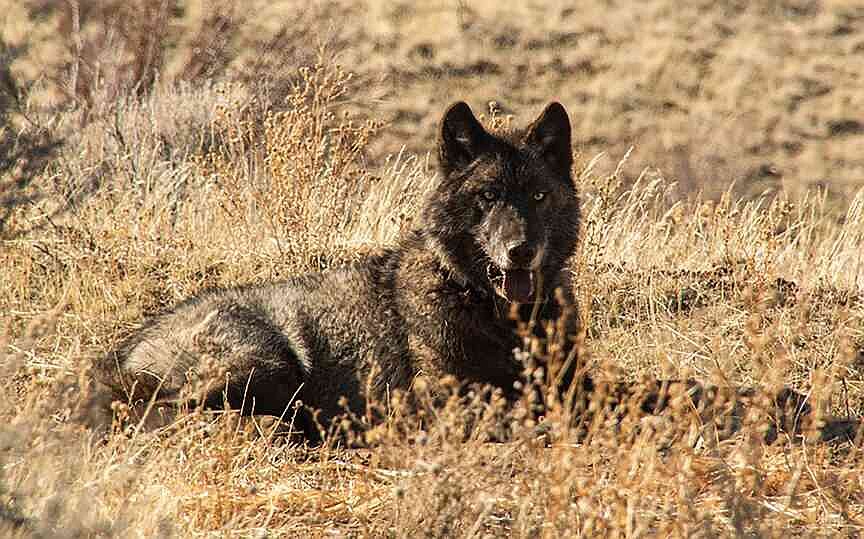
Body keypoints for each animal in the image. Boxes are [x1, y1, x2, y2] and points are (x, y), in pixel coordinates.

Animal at [97, 101, 582, 436]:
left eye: (538, 196)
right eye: (488, 197)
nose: (521, 250)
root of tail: (124, 349)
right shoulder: (445, 401)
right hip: (268, 363)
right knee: (172, 411)